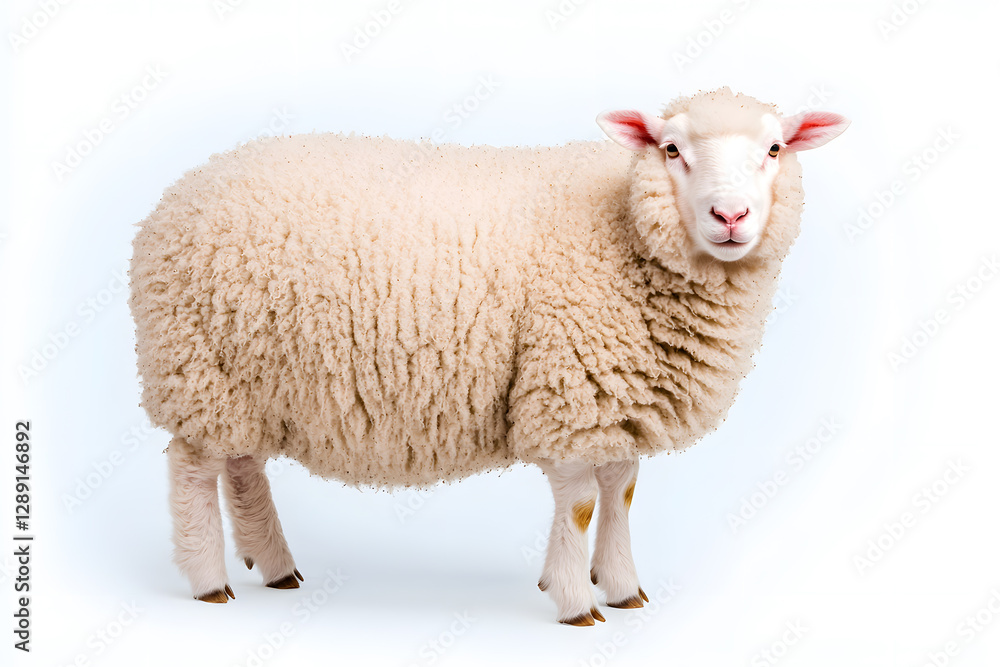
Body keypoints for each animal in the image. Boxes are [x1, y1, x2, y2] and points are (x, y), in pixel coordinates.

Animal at [128, 87, 849, 624]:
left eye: (775, 148)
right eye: (672, 148)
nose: (732, 216)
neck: (621, 230)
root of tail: (178, 192)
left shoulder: (616, 390)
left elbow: (621, 490)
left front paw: (621, 586)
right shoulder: (568, 384)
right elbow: (581, 501)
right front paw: (575, 600)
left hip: (245, 375)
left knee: (242, 464)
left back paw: (275, 564)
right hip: (198, 367)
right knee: (193, 471)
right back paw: (208, 580)